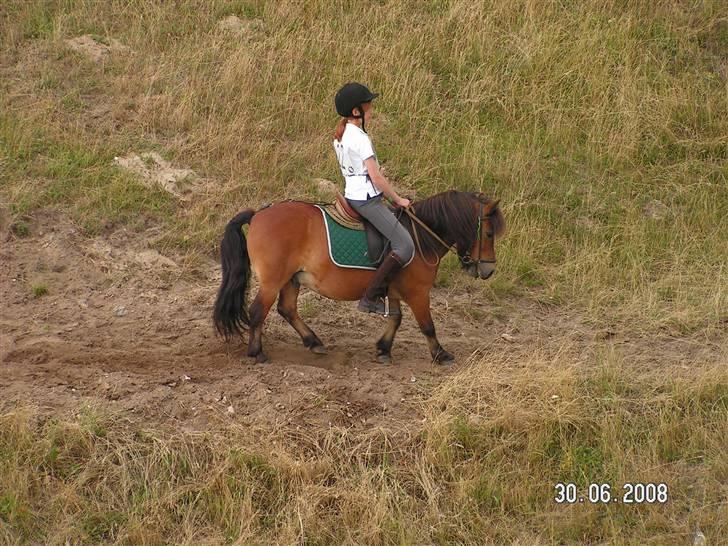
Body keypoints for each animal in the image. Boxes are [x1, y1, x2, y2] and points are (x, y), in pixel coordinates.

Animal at [213, 189, 504, 364]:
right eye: (489, 234)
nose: (488, 270)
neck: (421, 235)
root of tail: (258, 214)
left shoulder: (393, 289)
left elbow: (396, 319)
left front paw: (384, 349)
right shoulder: (418, 292)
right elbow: (427, 326)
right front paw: (441, 354)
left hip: (292, 278)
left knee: (287, 309)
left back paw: (313, 342)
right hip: (273, 280)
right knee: (257, 311)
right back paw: (257, 352)